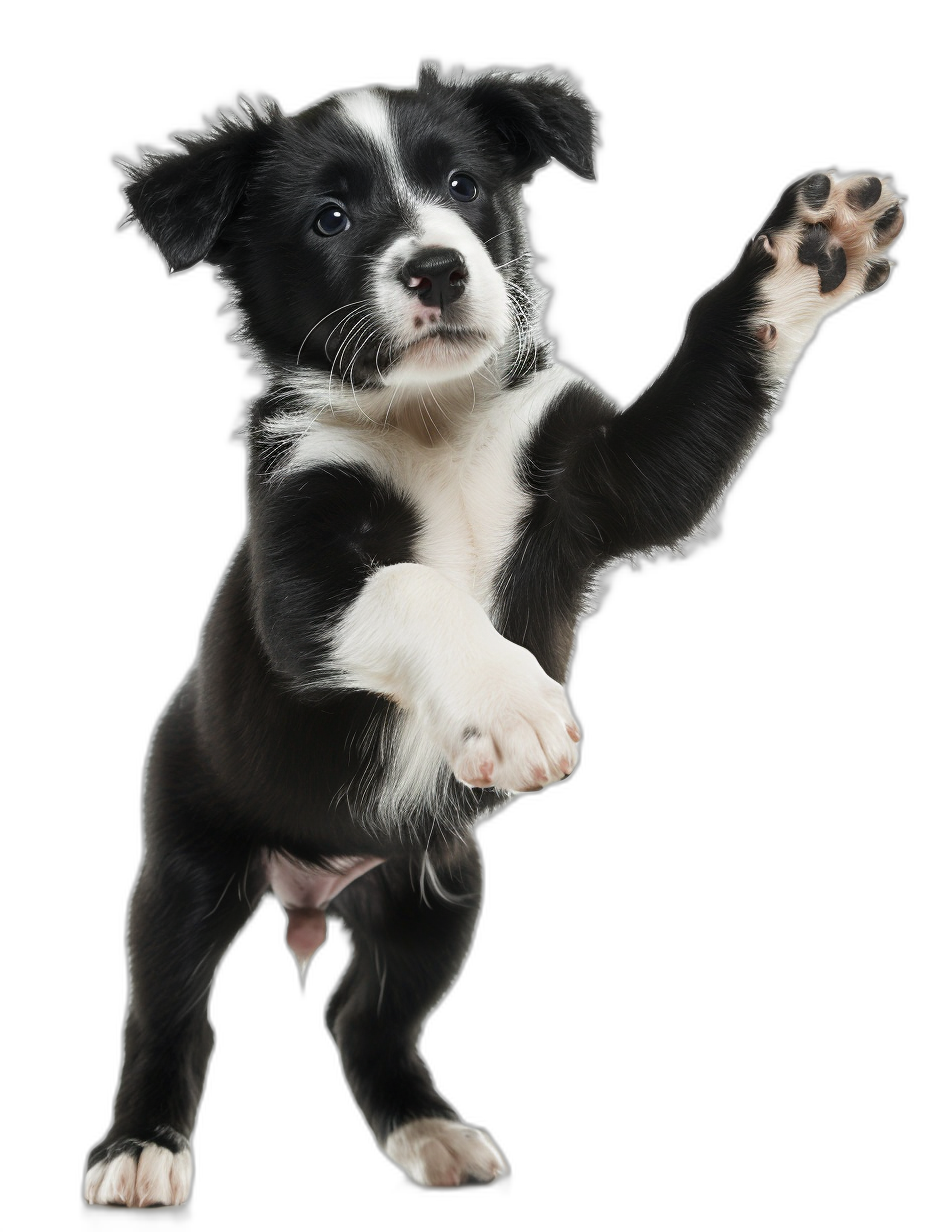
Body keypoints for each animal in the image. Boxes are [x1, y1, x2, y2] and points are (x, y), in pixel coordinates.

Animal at [85, 60, 897, 1202]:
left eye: (463, 185)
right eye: (331, 216)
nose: (435, 268)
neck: (431, 417)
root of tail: (312, 880)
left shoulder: (611, 479)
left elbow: (705, 378)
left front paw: (808, 252)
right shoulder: (297, 583)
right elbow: (415, 585)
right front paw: (514, 706)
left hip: (439, 891)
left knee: (363, 1013)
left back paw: (430, 1132)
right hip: (186, 864)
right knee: (169, 1011)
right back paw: (141, 1150)